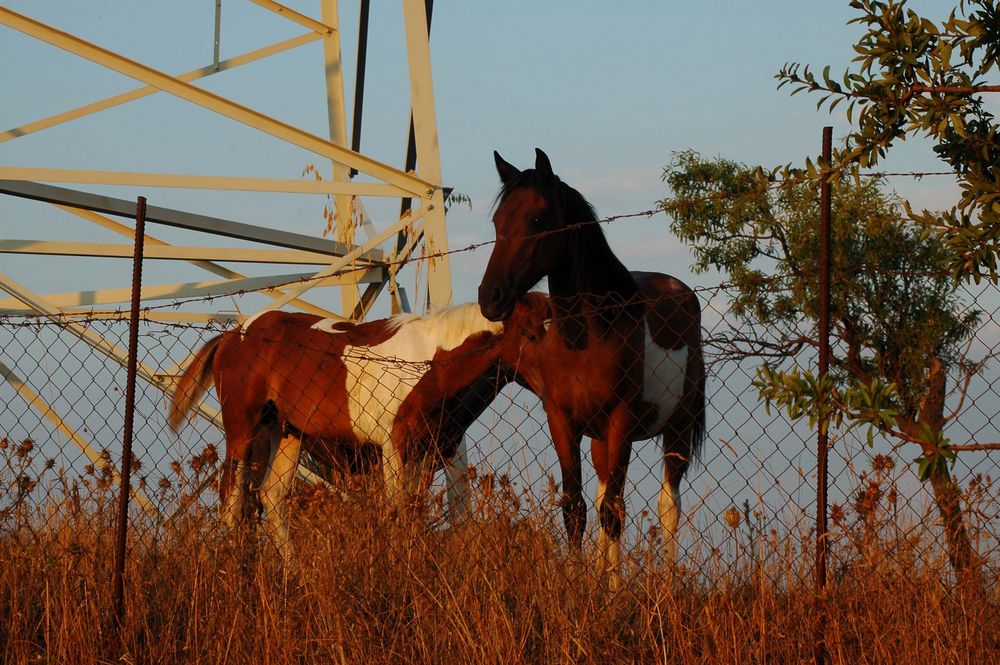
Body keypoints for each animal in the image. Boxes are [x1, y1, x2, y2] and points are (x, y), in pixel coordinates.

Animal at [169, 296, 552, 560]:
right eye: (530, 333)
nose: (557, 387)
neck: (431, 364)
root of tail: (234, 335)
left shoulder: (435, 453)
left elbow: (422, 514)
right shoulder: (395, 448)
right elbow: (398, 513)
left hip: (286, 435)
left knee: (270, 497)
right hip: (242, 431)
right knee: (232, 499)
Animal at [480, 148, 708, 580]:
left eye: (538, 219)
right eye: (498, 222)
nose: (490, 298)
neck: (586, 338)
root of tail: (682, 293)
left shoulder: (621, 422)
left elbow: (612, 513)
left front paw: (614, 592)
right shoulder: (562, 422)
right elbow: (577, 509)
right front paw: (579, 586)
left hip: (678, 429)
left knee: (667, 505)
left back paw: (666, 586)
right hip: (602, 438)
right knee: (606, 493)